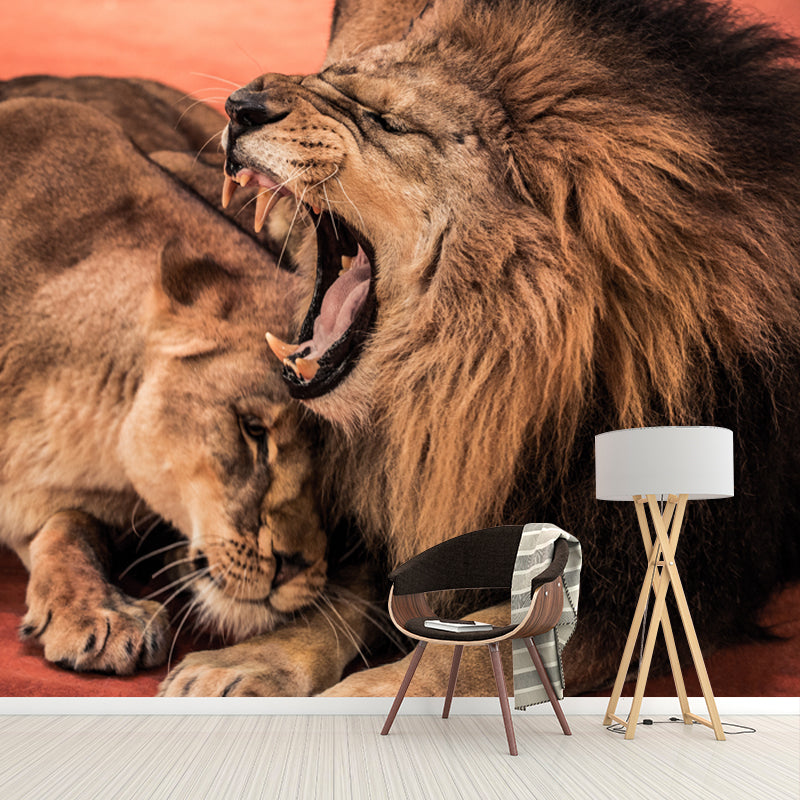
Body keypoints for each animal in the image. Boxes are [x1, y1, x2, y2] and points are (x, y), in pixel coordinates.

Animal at [219, 0, 800, 697]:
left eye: (390, 122)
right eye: (330, 76)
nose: (241, 105)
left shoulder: (665, 568)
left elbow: (482, 641)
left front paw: (362, 693)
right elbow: (348, 589)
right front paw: (251, 663)